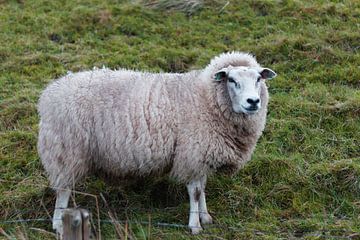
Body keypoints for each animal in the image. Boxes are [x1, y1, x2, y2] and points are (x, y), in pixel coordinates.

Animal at [37, 52, 276, 234]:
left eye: (258, 79)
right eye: (232, 80)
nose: (253, 102)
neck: (204, 98)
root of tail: (49, 94)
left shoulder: (201, 154)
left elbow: (203, 187)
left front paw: (205, 216)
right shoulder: (192, 152)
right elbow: (195, 191)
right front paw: (195, 225)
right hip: (66, 150)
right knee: (63, 189)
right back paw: (58, 224)